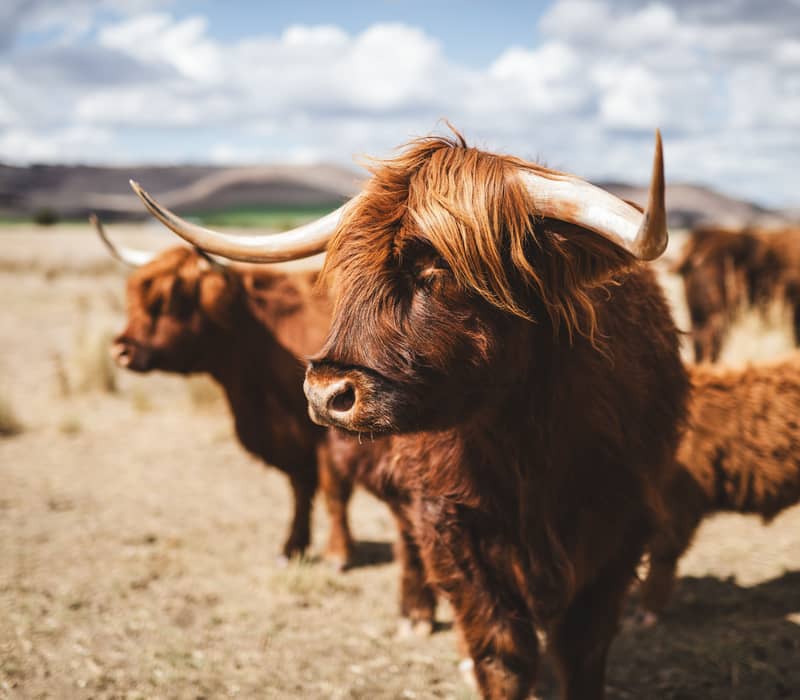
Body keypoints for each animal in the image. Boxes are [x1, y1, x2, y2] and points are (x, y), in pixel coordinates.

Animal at [92, 218, 439, 631]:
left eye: (169, 298)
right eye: (133, 296)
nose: (121, 349)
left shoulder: (328, 435)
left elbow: (333, 492)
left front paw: (339, 553)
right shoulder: (291, 437)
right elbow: (300, 490)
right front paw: (293, 547)